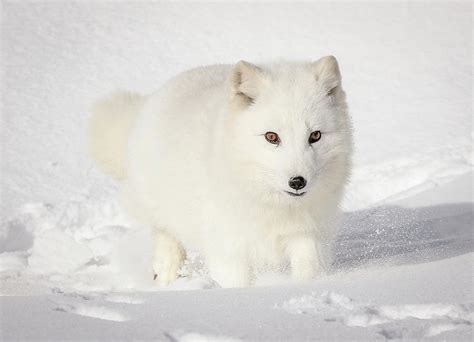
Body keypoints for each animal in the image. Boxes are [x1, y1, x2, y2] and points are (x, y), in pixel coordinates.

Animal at [88, 56, 352, 288]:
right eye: (271, 137)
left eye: (315, 135)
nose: (297, 181)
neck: (271, 205)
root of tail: (149, 101)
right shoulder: (228, 246)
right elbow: (237, 283)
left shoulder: (307, 235)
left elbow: (309, 270)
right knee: (164, 232)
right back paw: (167, 273)